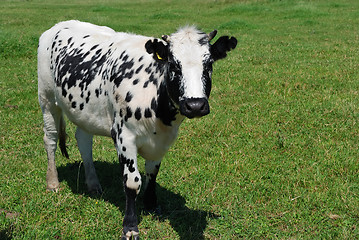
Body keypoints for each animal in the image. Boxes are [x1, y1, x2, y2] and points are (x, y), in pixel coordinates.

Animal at [38, 21, 238, 240]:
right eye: (173, 65)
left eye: (209, 64)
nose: (195, 105)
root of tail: (60, 25)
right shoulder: (124, 136)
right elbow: (132, 182)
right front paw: (130, 226)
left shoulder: (162, 140)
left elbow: (153, 173)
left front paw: (151, 203)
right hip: (47, 98)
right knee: (51, 140)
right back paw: (53, 182)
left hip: (85, 112)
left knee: (83, 141)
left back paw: (93, 184)